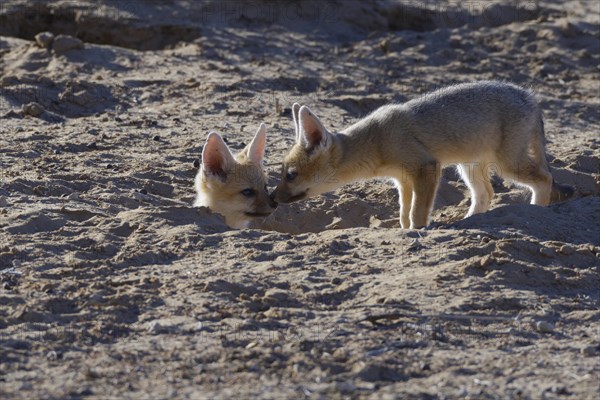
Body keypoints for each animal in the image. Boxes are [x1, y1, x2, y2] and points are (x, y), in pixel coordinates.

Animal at [272, 80, 572, 228]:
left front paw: (418, 230)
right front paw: (404, 229)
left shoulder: (427, 167)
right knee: (486, 194)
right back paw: (471, 220)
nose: (272, 198)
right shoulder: (403, 179)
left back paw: (535, 212)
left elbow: (417, 212)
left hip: (508, 165)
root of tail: (530, 96)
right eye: (283, 174)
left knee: (545, 179)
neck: (375, 138)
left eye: (290, 175)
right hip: (469, 167)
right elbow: (404, 211)